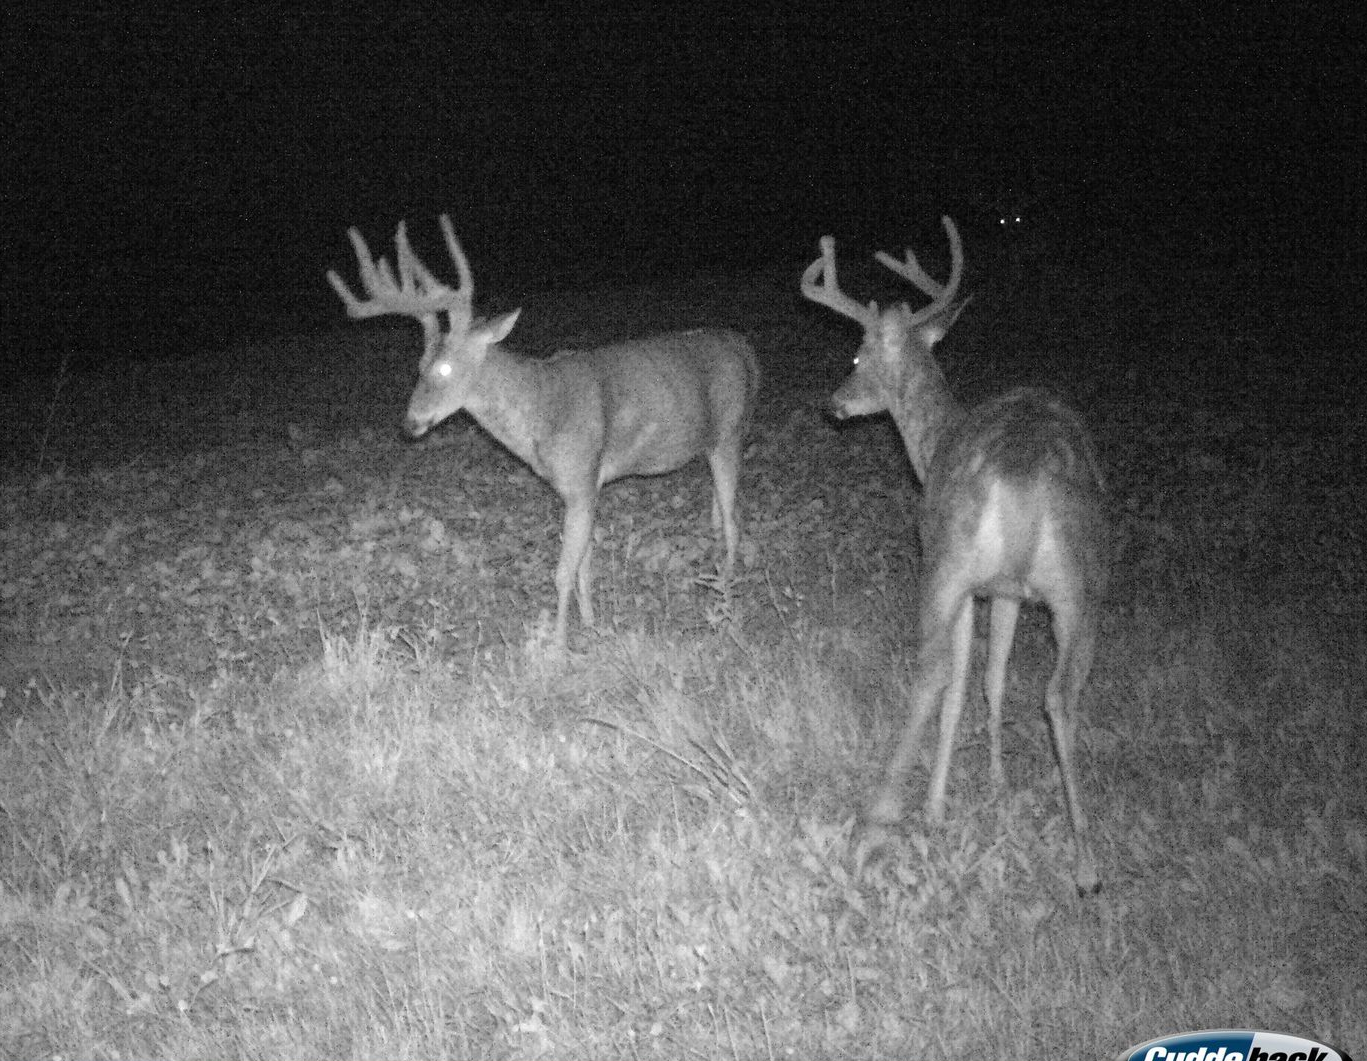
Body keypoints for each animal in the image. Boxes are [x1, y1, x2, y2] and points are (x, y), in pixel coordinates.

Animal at [328, 215, 760, 652]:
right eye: (418, 365)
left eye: (445, 369)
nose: (410, 423)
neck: (542, 409)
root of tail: (744, 346)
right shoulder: (579, 488)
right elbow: (584, 565)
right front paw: (590, 623)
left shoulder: (582, 478)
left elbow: (563, 572)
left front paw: (557, 645)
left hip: (730, 430)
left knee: (734, 519)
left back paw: (727, 588)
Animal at [801, 217, 1108, 893]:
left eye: (857, 355)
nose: (833, 402)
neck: (934, 444)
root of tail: (1024, 474)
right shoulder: (1009, 590)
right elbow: (996, 680)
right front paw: (996, 784)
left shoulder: (969, 583)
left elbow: (963, 684)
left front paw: (941, 806)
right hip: (1081, 583)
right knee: (1061, 693)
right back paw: (1087, 864)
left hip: (948, 563)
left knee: (934, 674)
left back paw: (876, 824)